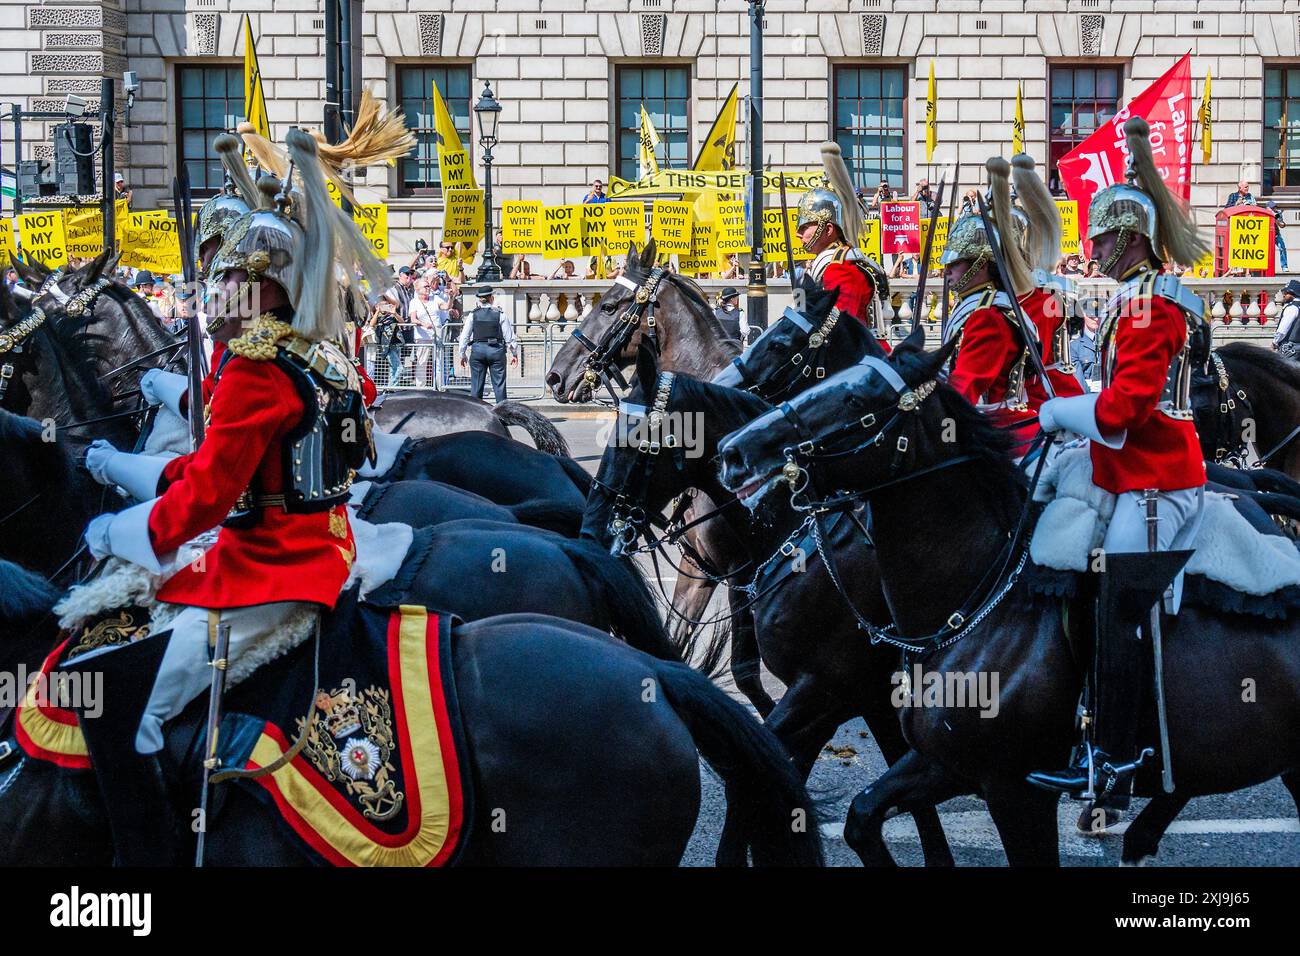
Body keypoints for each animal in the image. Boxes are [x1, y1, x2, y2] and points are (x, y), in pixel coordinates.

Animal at [717, 327, 1300, 868]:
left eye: (858, 400)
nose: (733, 451)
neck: (982, 592)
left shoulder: (1010, 786)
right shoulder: (936, 756)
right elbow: (859, 811)